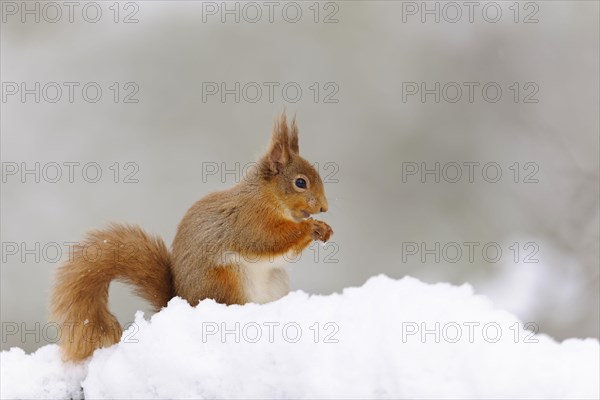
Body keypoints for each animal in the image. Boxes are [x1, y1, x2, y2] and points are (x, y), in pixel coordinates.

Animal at [51, 113, 332, 362]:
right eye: (300, 183)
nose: (324, 208)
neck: (268, 197)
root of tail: (180, 301)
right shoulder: (249, 221)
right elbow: (268, 240)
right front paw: (312, 227)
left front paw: (324, 229)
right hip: (224, 282)